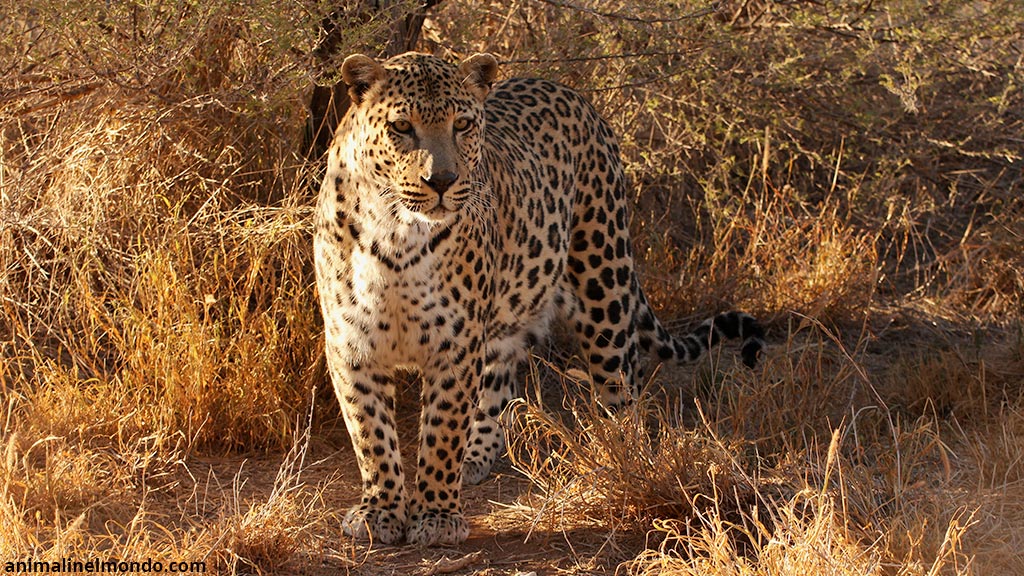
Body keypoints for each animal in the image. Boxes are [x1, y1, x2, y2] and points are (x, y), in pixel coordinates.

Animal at [313, 52, 765, 547]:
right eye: (401, 127)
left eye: (463, 124)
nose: (442, 180)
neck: (395, 234)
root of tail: (569, 92)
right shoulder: (351, 343)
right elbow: (370, 433)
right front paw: (380, 511)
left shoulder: (456, 344)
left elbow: (441, 432)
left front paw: (435, 516)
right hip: (510, 310)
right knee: (499, 382)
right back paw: (477, 455)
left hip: (604, 281)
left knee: (622, 381)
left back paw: (623, 460)